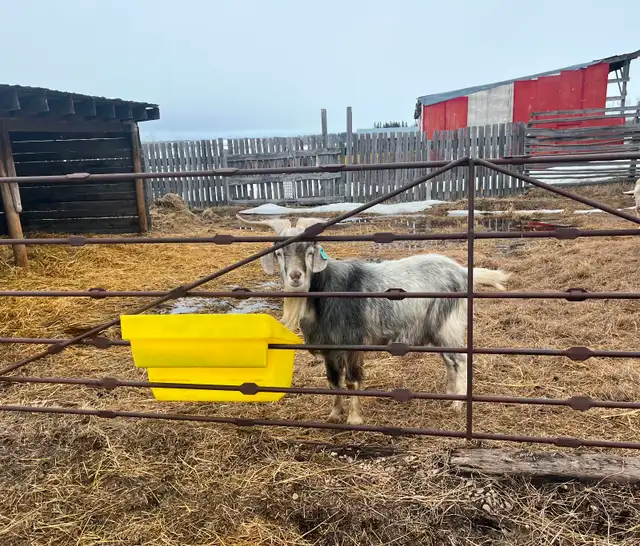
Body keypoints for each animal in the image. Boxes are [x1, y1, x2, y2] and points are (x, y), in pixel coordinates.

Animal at [237, 215, 511, 425]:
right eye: (280, 253)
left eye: (310, 251)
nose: (296, 277)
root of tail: (462, 272)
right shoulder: (329, 347)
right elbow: (333, 381)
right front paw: (334, 414)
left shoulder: (352, 343)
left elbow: (351, 381)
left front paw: (354, 418)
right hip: (437, 331)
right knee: (449, 362)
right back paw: (449, 396)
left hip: (449, 326)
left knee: (461, 360)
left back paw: (457, 405)